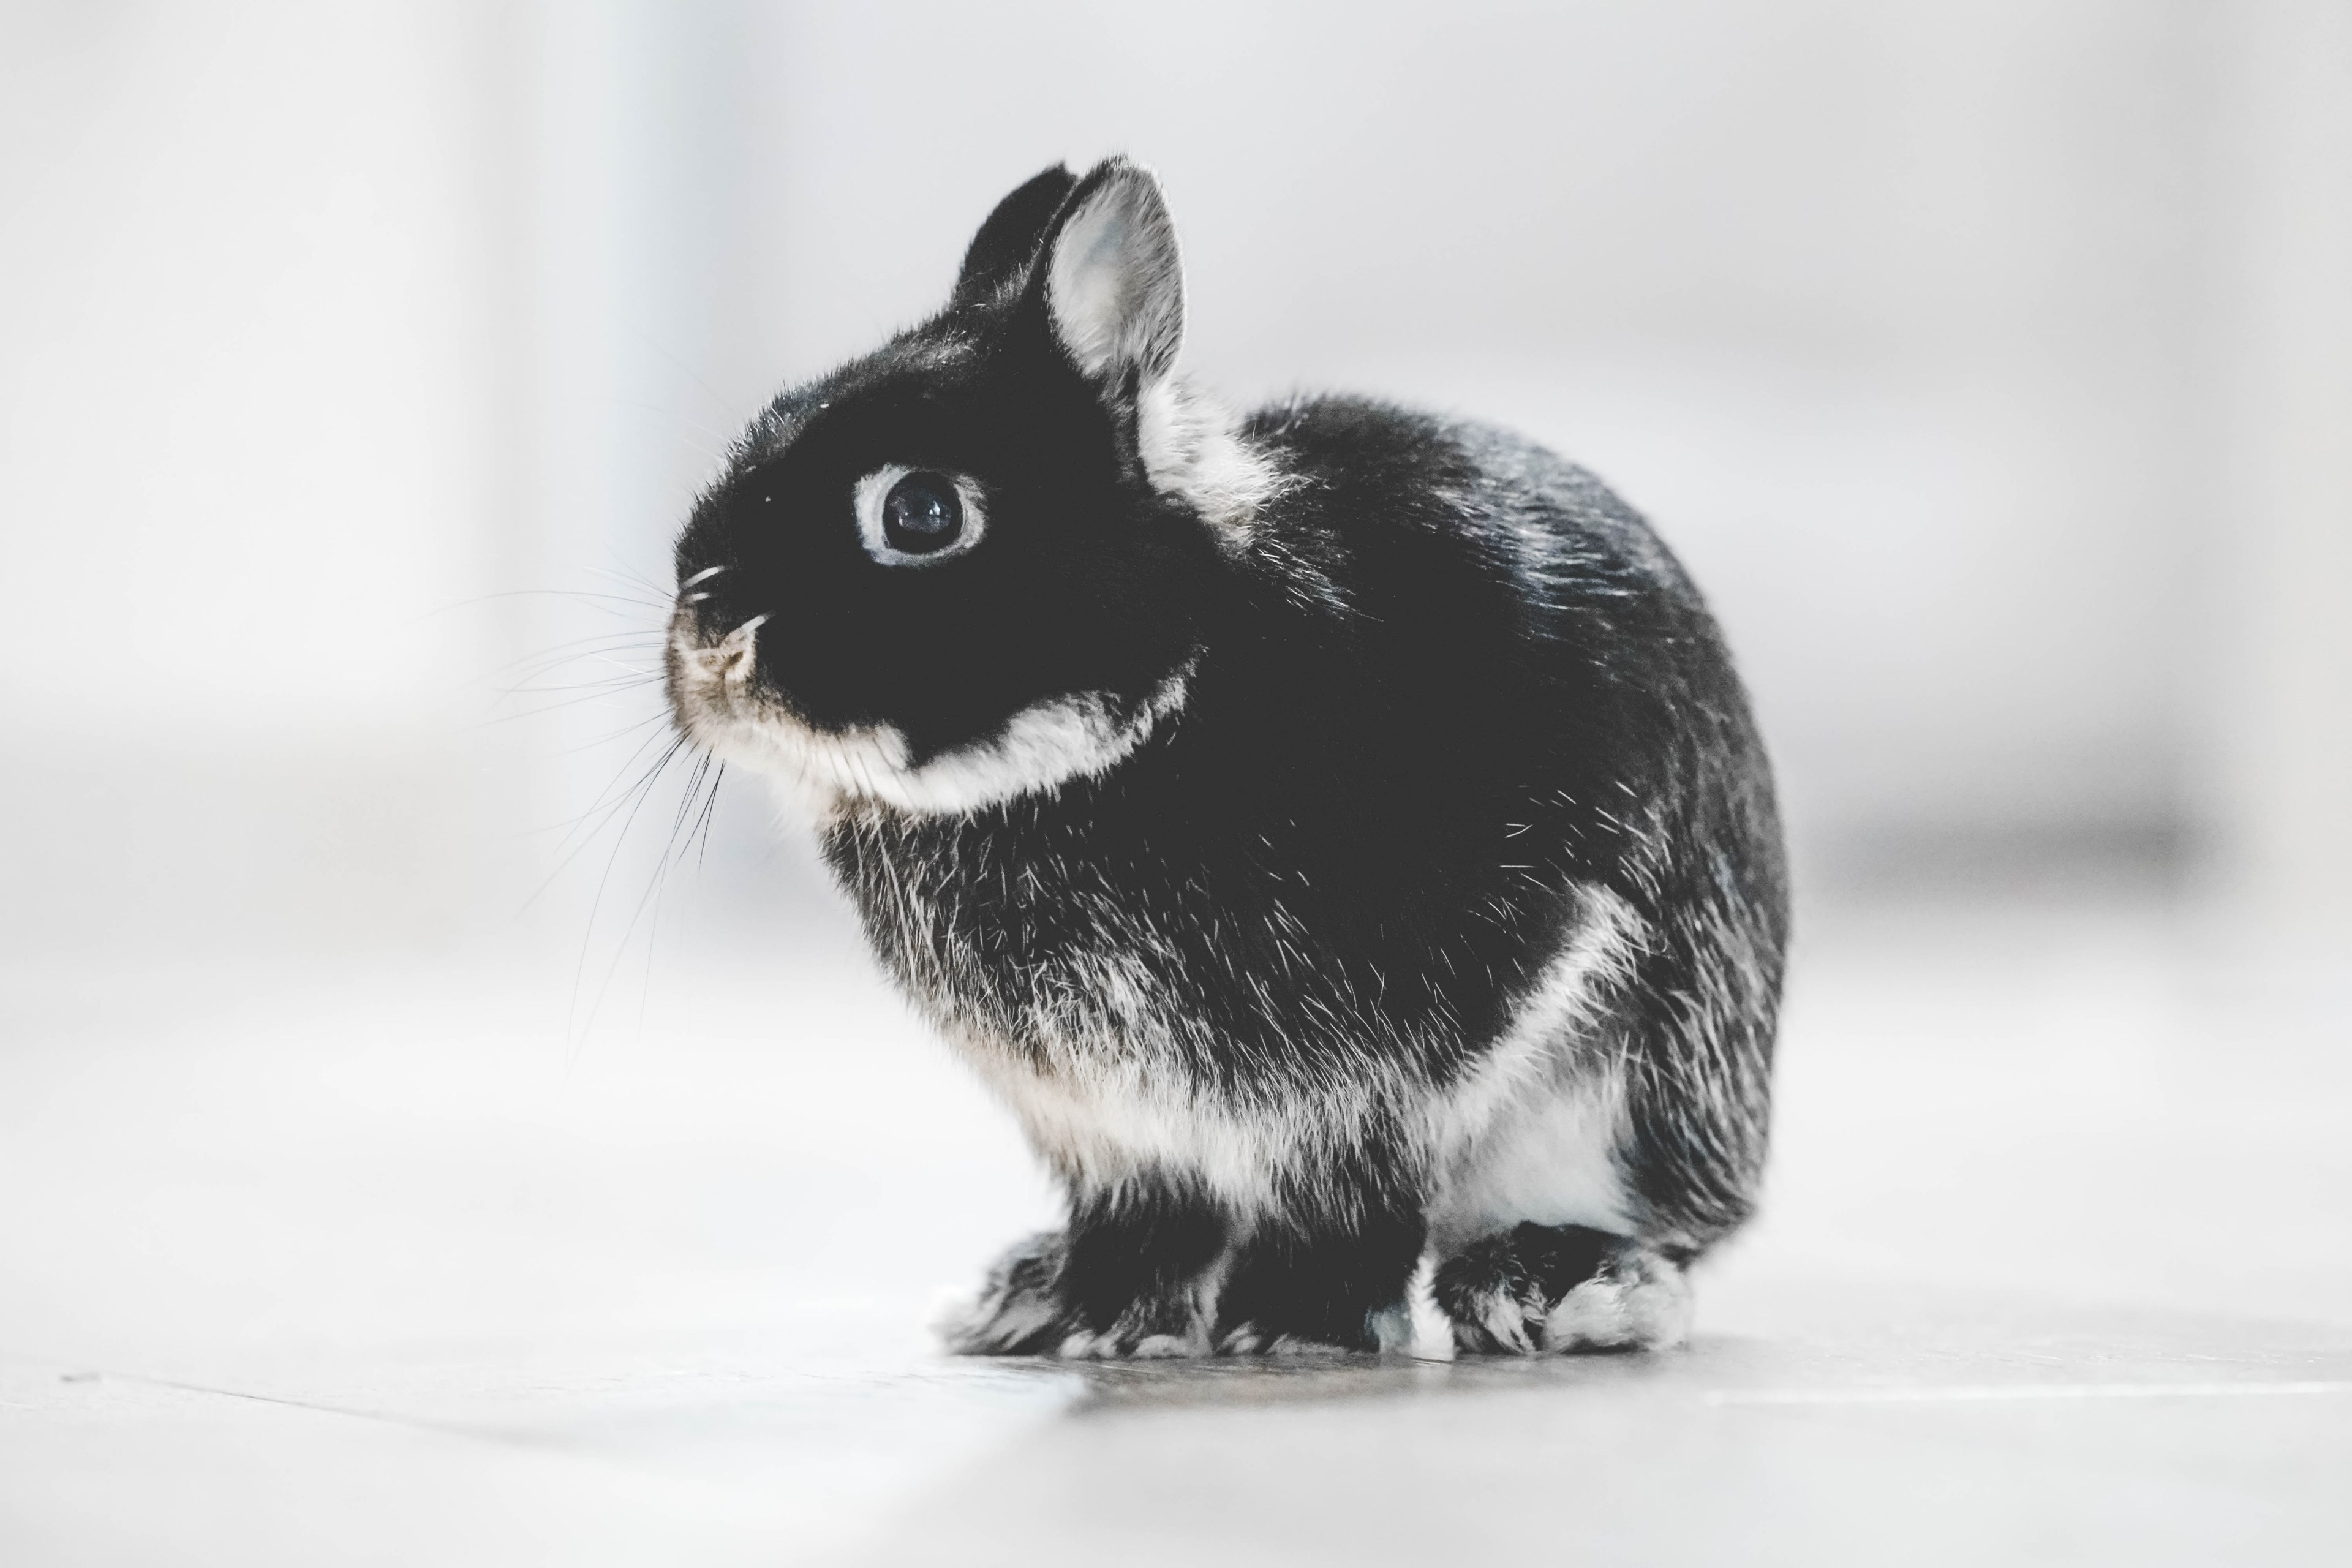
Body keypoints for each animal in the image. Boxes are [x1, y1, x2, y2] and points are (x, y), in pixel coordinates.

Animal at [665, 157, 1787, 1358]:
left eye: (921, 511)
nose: (710, 634)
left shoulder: (1397, 1063)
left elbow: (1351, 1192)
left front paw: (1297, 1328)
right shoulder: (1111, 1130)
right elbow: (1147, 1218)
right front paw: (1091, 1320)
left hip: (1636, 1089)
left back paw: (1549, 1287)